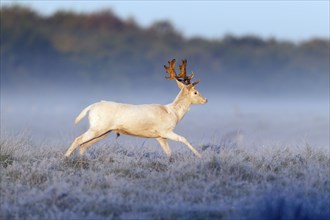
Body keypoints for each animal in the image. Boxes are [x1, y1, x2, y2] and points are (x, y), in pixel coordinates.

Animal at [64, 58, 208, 158]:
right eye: (195, 92)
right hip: (98, 127)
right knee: (78, 140)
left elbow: (169, 153)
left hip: (103, 131)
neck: (173, 113)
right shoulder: (164, 130)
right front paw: (199, 156)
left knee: (83, 145)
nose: (205, 100)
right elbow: (183, 139)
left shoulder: (159, 136)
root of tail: (91, 107)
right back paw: (65, 158)